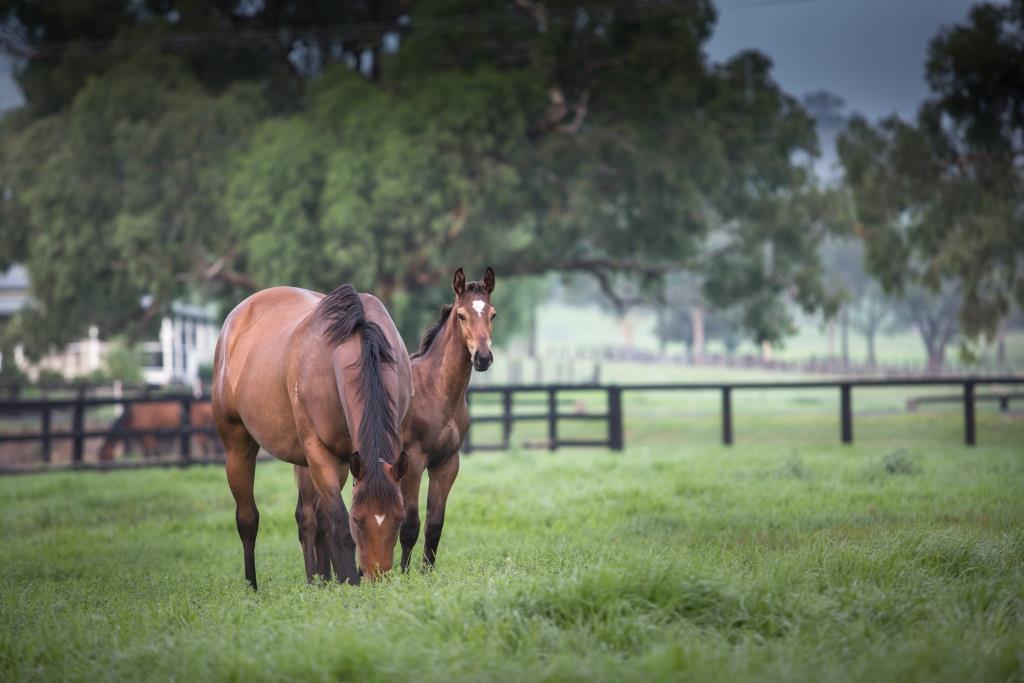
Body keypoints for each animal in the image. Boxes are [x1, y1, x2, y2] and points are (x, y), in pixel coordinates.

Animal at [211, 282, 411, 589]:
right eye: (358, 520)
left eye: (399, 519)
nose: (377, 578)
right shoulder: (318, 450)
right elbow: (337, 522)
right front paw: (349, 581)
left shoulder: (352, 455)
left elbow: (324, 520)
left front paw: (336, 580)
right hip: (237, 445)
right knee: (247, 518)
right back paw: (252, 587)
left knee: (308, 517)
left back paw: (318, 580)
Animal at [294, 266, 497, 577]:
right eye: (462, 315)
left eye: (492, 314)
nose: (483, 358)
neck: (437, 390)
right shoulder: (412, 460)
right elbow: (410, 524)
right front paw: (403, 574)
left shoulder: (447, 461)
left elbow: (434, 525)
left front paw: (426, 574)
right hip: (312, 466)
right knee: (308, 518)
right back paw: (317, 578)